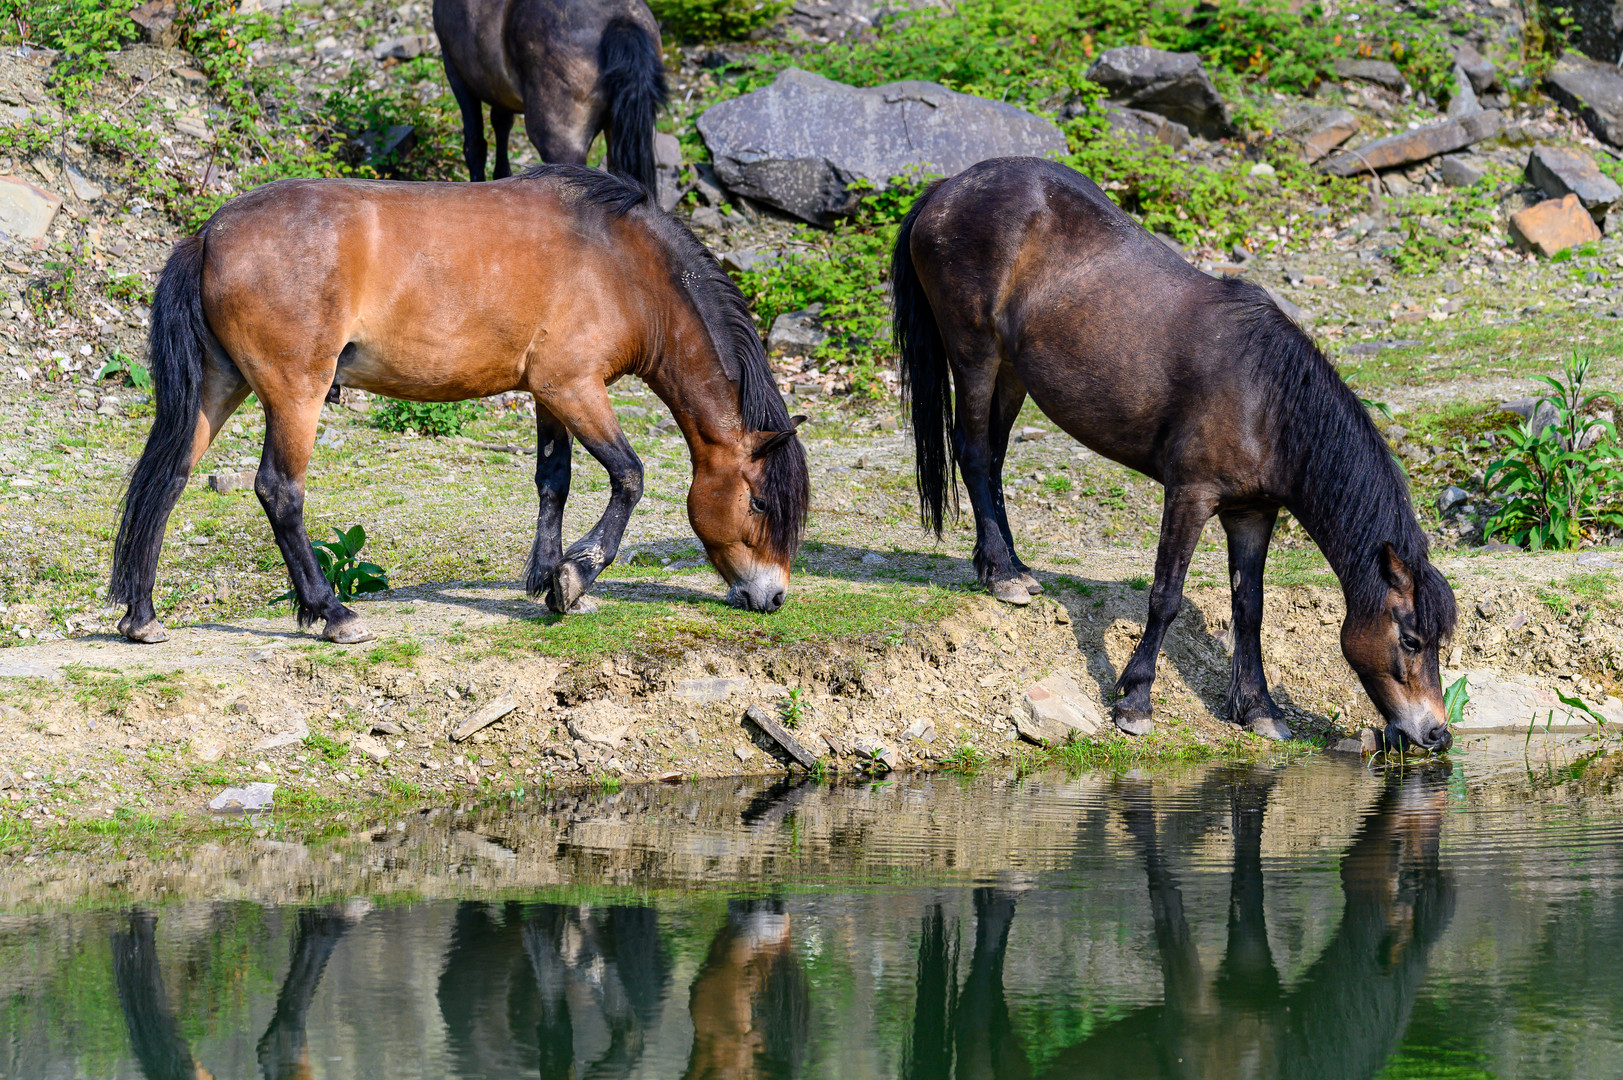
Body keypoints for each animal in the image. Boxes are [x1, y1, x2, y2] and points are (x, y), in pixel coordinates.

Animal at [111, 164, 808, 643]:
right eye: (760, 502)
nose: (773, 597)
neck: (622, 266)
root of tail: (207, 234)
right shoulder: (576, 387)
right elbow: (629, 477)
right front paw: (576, 575)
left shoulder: (549, 393)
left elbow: (553, 481)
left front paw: (548, 577)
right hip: (295, 393)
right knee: (279, 490)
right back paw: (333, 613)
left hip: (219, 388)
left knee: (167, 481)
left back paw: (141, 616)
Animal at [895, 158, 1467, 750]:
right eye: (1411, 640)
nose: (1436, 734)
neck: (1266, 399)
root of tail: (948, 189)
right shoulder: (1190, 495)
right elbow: (1166, 595)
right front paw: (1135, 700)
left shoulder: (1251, 513)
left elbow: (1249, 609)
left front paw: (1257, 707)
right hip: (975, 354)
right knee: (974, 453)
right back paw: (1001, 575)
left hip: (1011, 370)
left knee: (994, 460)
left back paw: (1010, 565)